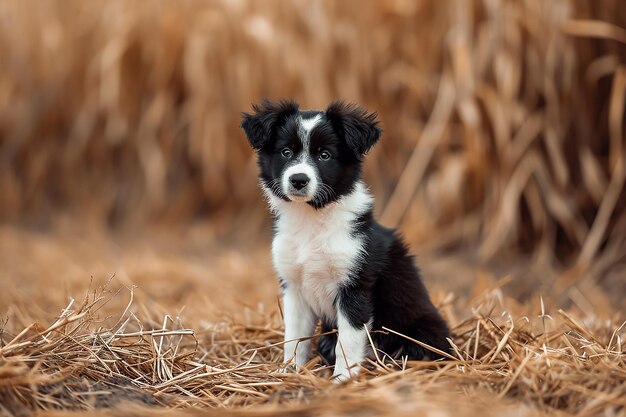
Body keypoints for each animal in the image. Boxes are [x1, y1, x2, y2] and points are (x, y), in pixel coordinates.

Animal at [239, 100, 448, 380]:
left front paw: (342, 380)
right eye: (286, 152)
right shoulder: (294, 287)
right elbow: (295, 338)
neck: (312, 219)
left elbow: (347, 343)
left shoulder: (355, 288)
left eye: (324, 155)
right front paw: (290, 371)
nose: (298, 180)